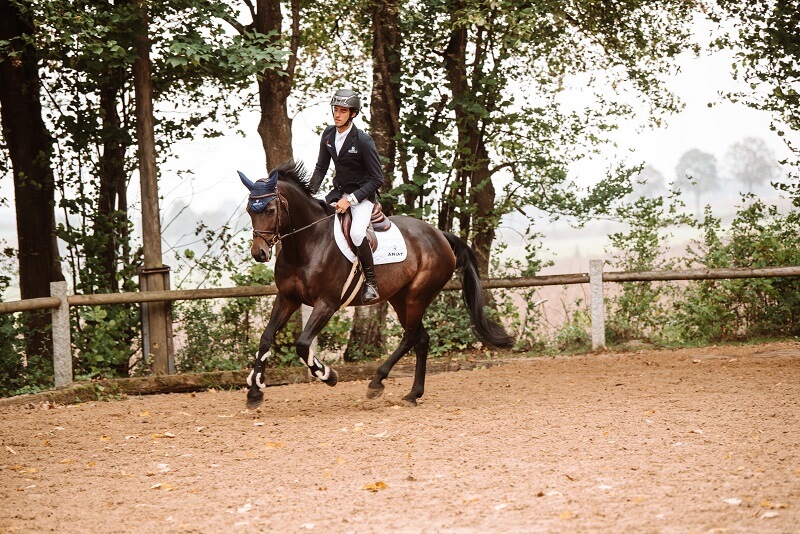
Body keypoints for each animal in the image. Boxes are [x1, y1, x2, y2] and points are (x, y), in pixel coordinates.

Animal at [239, 160, 512, 410]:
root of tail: (440, 235)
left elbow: (303, 344)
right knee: (421, 338)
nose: (259, 253)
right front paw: (255, 391)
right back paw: (413, 394)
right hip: (399, 298)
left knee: (411, 336)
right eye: (250, 211)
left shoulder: (327, 303)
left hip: (417, 296)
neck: (307, 244)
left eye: (270, 209)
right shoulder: (287, 298)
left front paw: (328, 375)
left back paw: (377, 382)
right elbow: (265, 338)